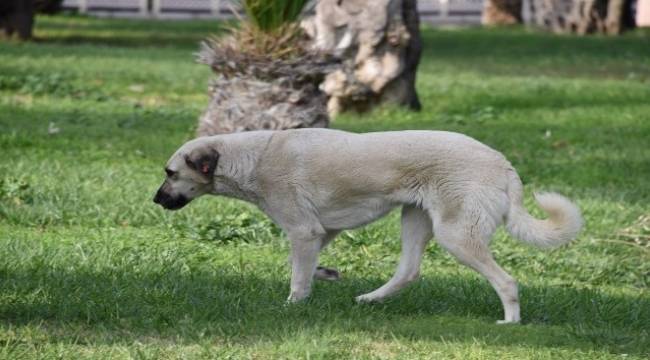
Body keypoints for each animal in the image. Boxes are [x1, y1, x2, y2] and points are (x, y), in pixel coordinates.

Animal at [154, 129, 580, 324]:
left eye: (170, 173)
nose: (156, 200)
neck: (253, 158)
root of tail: (503, 164)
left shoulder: (304, 231)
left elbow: (297, 277)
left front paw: (293, 304)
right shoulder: (321, 231)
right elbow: (303, 265)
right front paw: (325, 275)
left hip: (455, 235)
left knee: (506, 281)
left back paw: (511, 321)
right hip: (415, 221)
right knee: (408, 272)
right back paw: (371, 299)